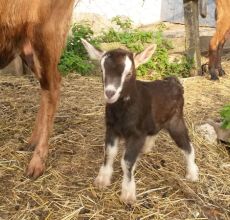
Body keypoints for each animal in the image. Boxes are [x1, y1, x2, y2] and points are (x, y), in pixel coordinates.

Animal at [0, 0, 75, 179]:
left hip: (46, 35)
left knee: (52, 86)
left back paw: (37, 162)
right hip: (28, 48)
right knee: (46, 87)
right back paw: (32, 142)